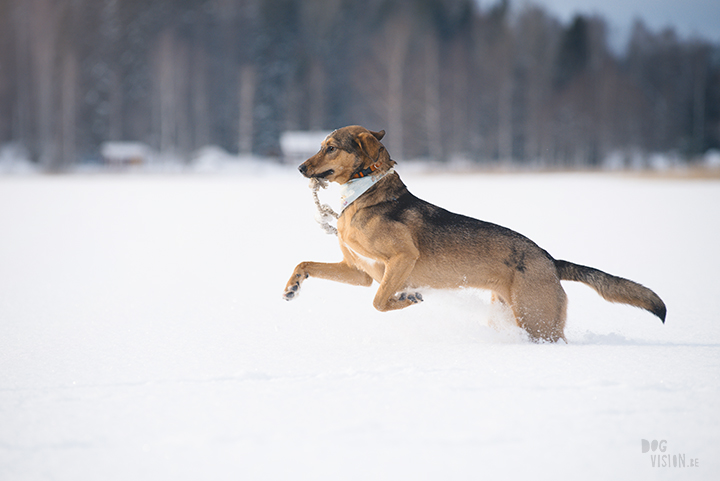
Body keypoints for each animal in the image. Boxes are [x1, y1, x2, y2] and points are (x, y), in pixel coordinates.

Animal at [284, 124, 668, 342]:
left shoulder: (402, 258)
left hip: (538, 321)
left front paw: (407, 299)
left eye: (330, 147)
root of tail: (550, 260)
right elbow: (306, 263)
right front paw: (292, 287)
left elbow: (379, 302)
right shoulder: (359, 271)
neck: (365, 193)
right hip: (511, 315)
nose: (300, 167)